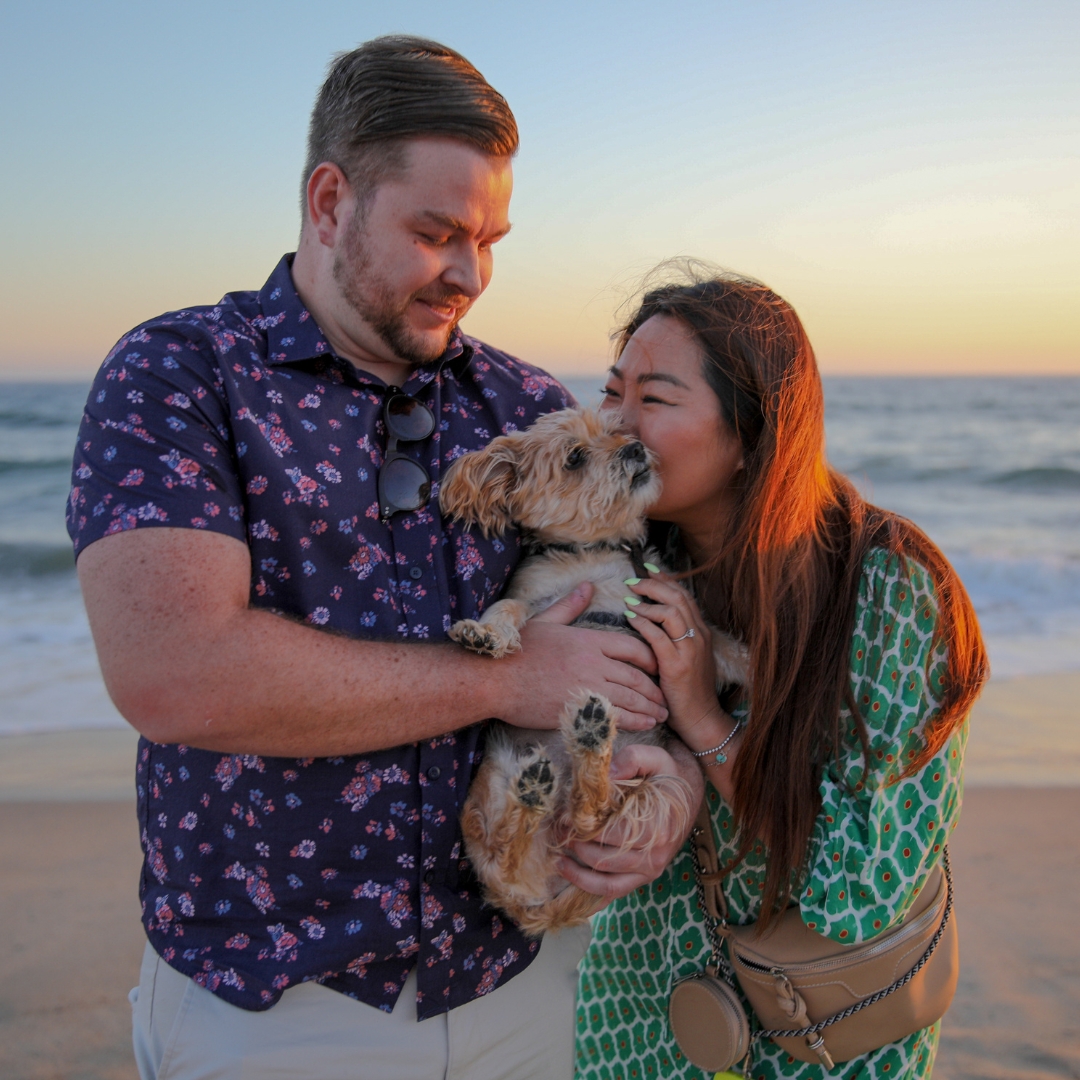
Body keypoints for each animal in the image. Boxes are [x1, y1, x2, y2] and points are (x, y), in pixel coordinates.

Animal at [436, 406, 743, 937]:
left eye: (619, 431)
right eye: (575, 457)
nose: (635, 449)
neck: (598, 556)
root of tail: (539, 905)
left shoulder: (683, 614)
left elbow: (730, 649)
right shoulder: (536, 601)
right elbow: (509, 607)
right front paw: (486, 632)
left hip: (656, 791)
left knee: (585, 815)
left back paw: (572, 758)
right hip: (494, 785)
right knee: (561, 825)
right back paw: (570, 758)